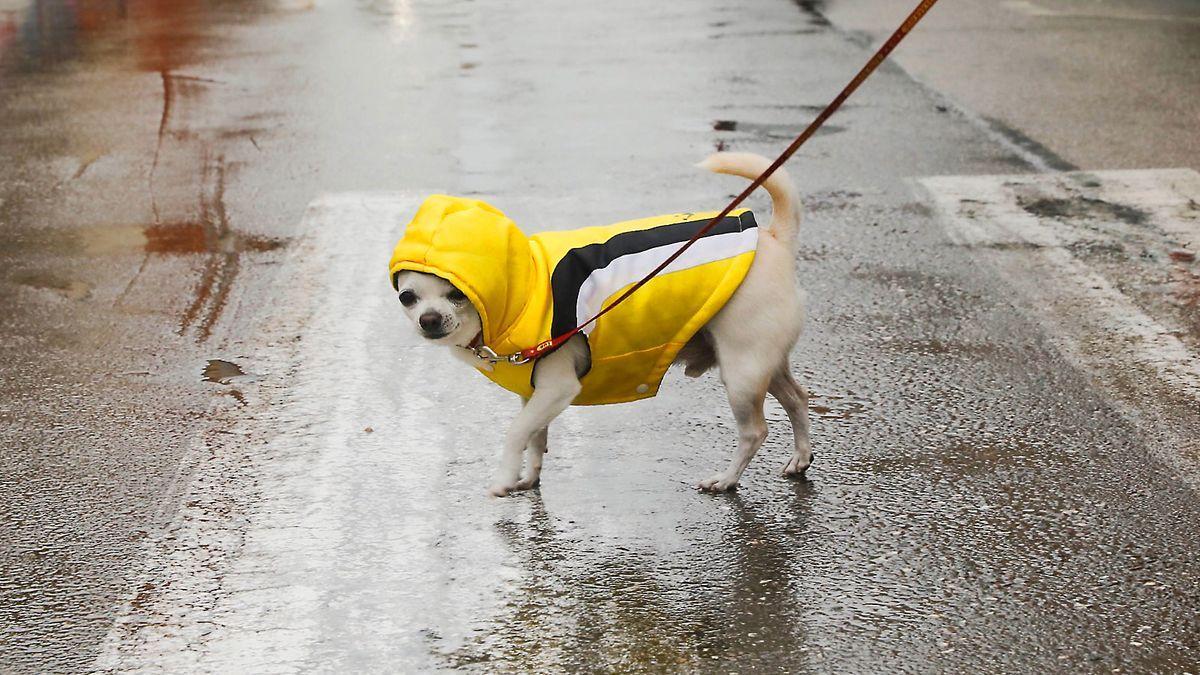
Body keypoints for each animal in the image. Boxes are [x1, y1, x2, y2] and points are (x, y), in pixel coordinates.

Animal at [388, 152, 811, 494]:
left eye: (456, 294)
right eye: (407, 297)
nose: (428, 319)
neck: (523, 288)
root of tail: (773, 238)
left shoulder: (557, 388)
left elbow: (516, 432)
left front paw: (505, 477)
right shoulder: (534, 394)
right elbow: (535, 437)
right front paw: (529, 478)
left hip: (741, 373)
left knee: (755, 431)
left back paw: (726, 480)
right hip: (762, 365)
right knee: (797, 397)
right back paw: (801, 458)